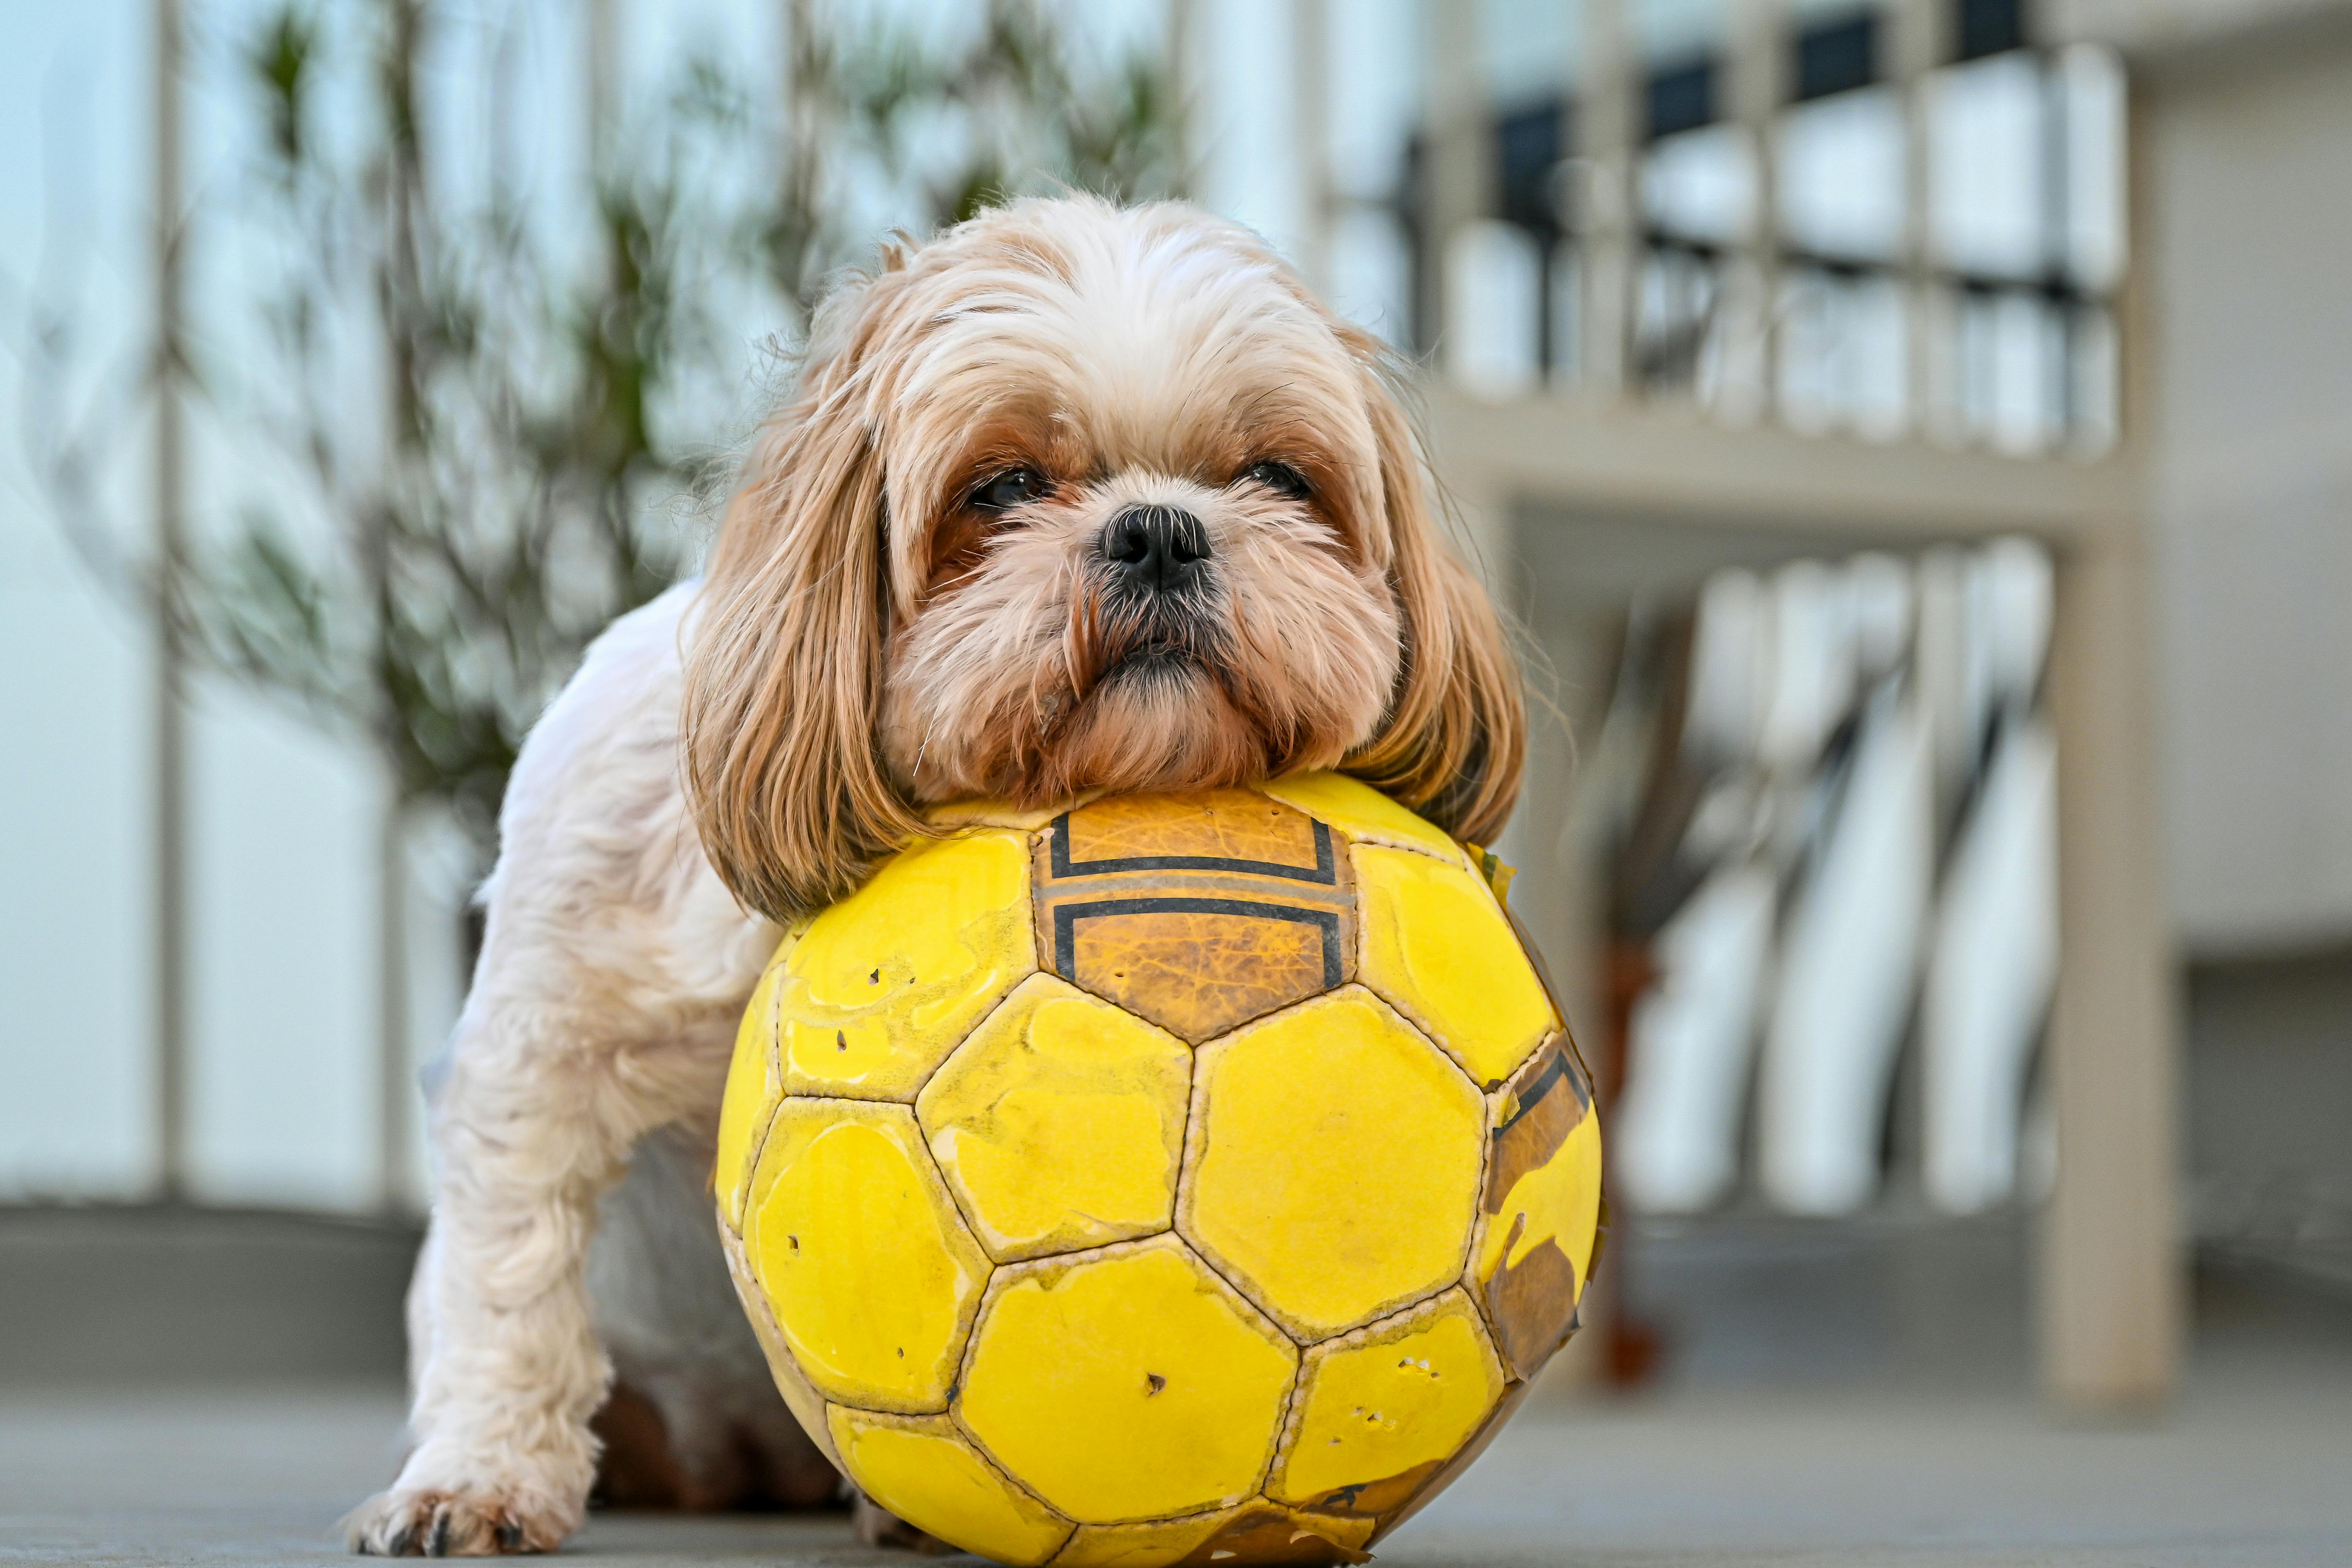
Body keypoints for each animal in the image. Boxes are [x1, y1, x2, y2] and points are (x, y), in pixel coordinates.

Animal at [343, 196, 1524, 1561]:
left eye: (1277, 478)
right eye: (1001, 487)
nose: (1158, 528)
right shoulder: (542, 1039)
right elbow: (509, 1279)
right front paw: (478, 1476)